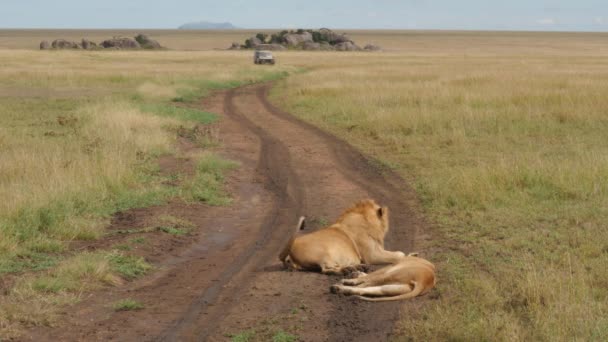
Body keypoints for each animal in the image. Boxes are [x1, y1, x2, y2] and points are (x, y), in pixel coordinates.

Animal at [278, 198, 406, 276]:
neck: (367, 221)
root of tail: (289, 253)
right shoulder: (372, 255)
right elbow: (400, 254)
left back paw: (358, 267)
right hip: (323, 254)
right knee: (326, 269)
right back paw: (349, 270)